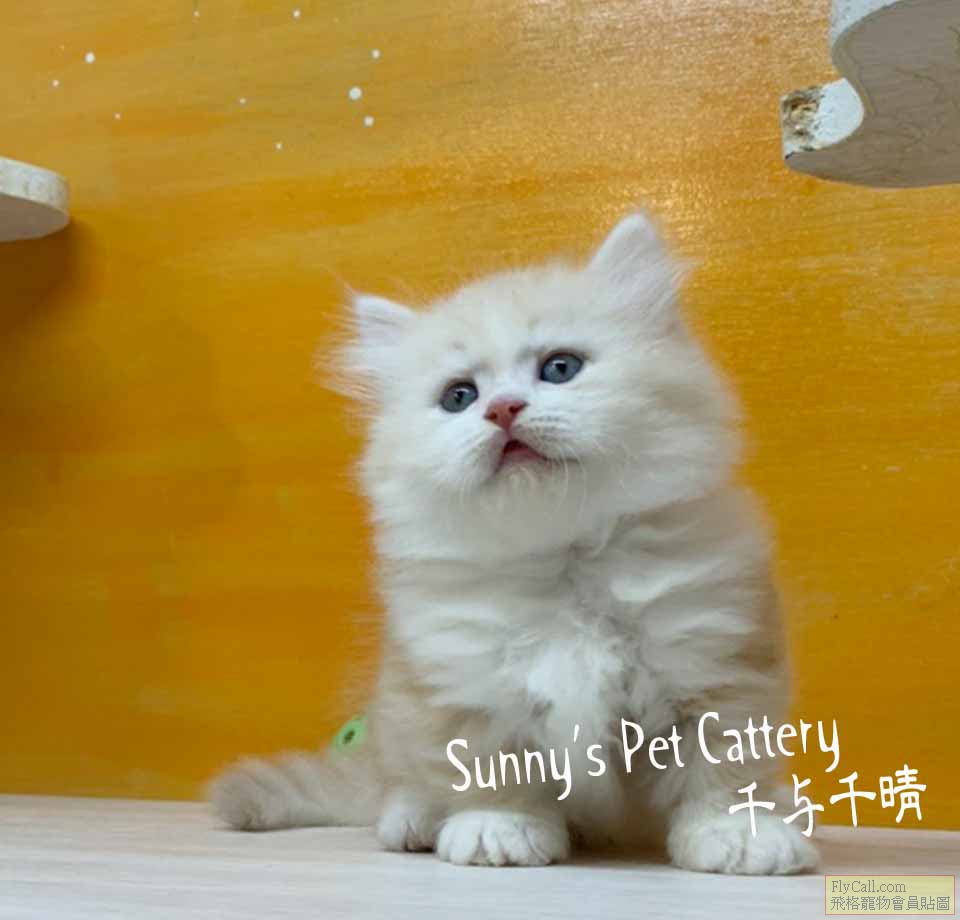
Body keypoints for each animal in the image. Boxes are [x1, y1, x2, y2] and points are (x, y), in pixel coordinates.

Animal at [209, 213, 818, 874]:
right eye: (459, 397)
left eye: (560, 367)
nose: (502, 409)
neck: (562, 562)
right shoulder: (461, 680)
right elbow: (488, 768)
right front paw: (497, 830)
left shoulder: (718, 663)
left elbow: (725, 770)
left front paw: (738, 835)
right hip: (394, 711)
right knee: (398, 782)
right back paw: (413, 821)